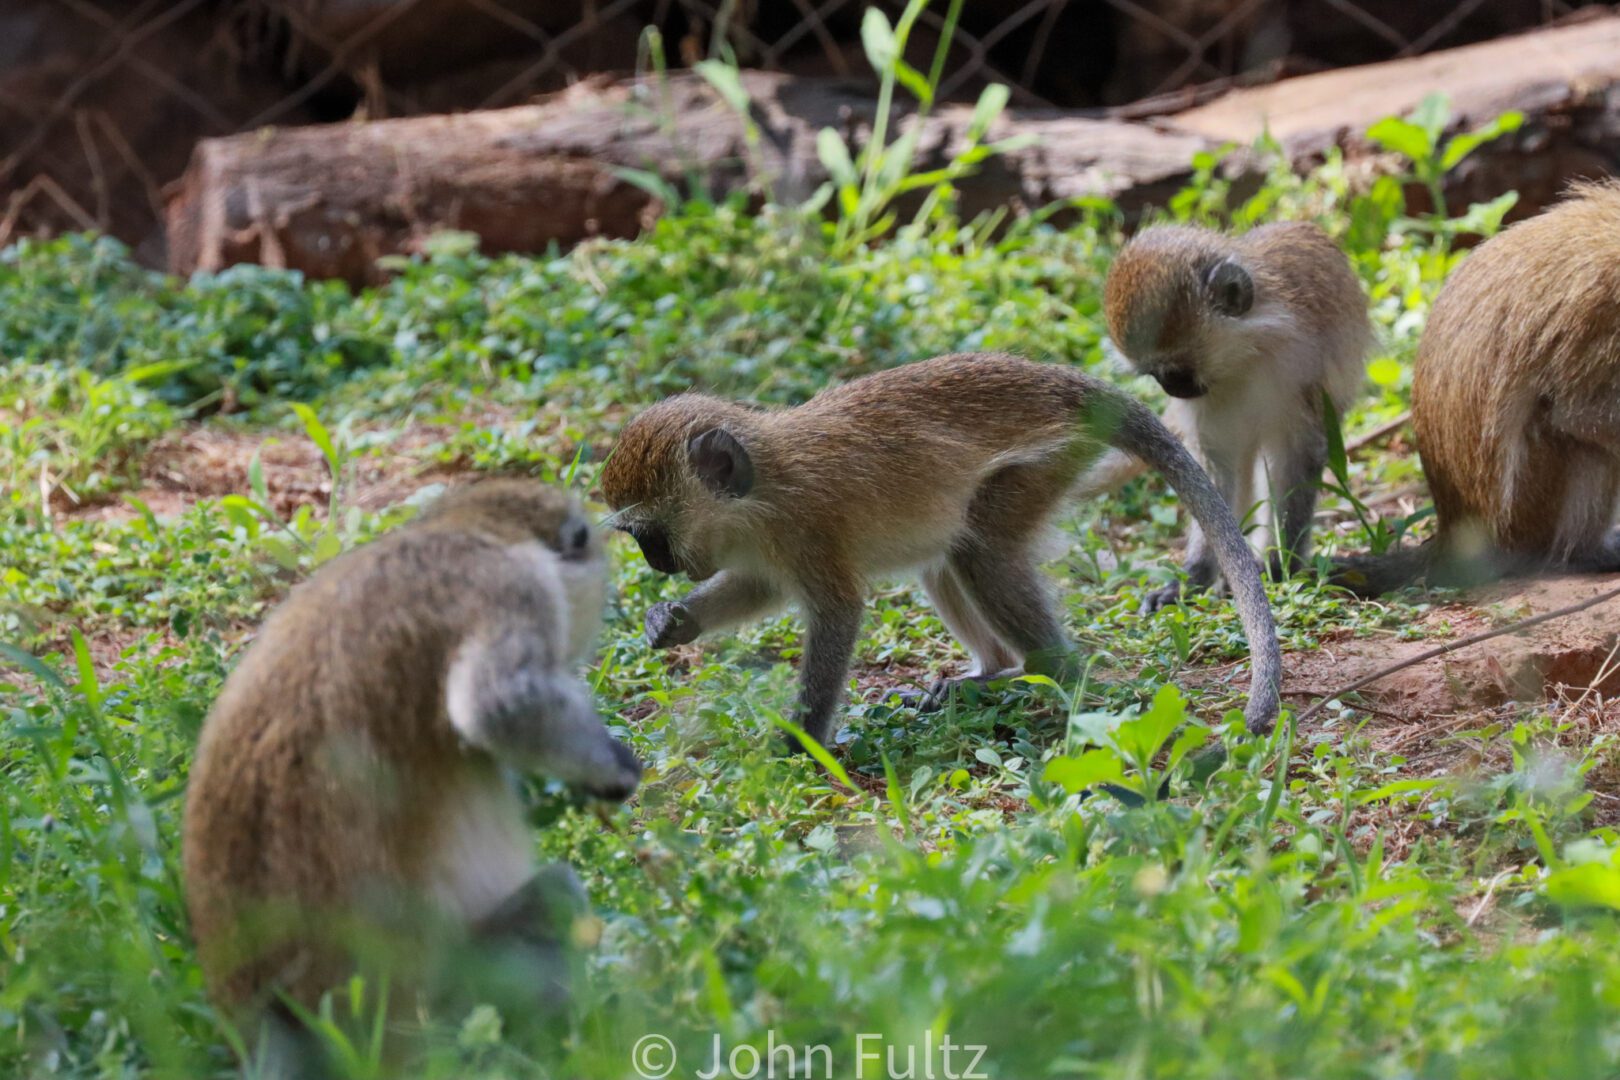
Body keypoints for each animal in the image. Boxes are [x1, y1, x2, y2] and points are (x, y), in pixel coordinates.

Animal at [183, 479, 638, 1075]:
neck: (470, 532)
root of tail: (271, 1021)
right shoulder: (510, 586)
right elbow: (499, 705)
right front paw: (613, 770)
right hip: (453, 994)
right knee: (557, 896)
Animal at [596, 351, 1276, 748]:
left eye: (652, 538)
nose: (659, 566)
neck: (763, 483)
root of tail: (1072, 388)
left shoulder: (806, 527)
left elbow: (837, 615)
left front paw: (801, 743)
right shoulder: (766, 548)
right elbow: (756, 588)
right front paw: (675, 620)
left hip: (1045, 463)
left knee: (982, 551)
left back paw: (1042, 672)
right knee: (948, 556)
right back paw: (989, 671)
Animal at [1101, 220, 1367, 608]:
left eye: (1176, 370)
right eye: (1153, 375)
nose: (1172, 389)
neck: (1243, 358)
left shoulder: (1299, 369)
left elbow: (1297, 454)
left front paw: (1278, 565)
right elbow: (1213, 466)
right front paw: (1193, 577)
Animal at [1334, 181, 1620, 595]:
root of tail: (1452, 535)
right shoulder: (1602, 309)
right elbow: (1578, 413)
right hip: (1528, 511)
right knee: (1579, 442)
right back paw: (1585, 554)